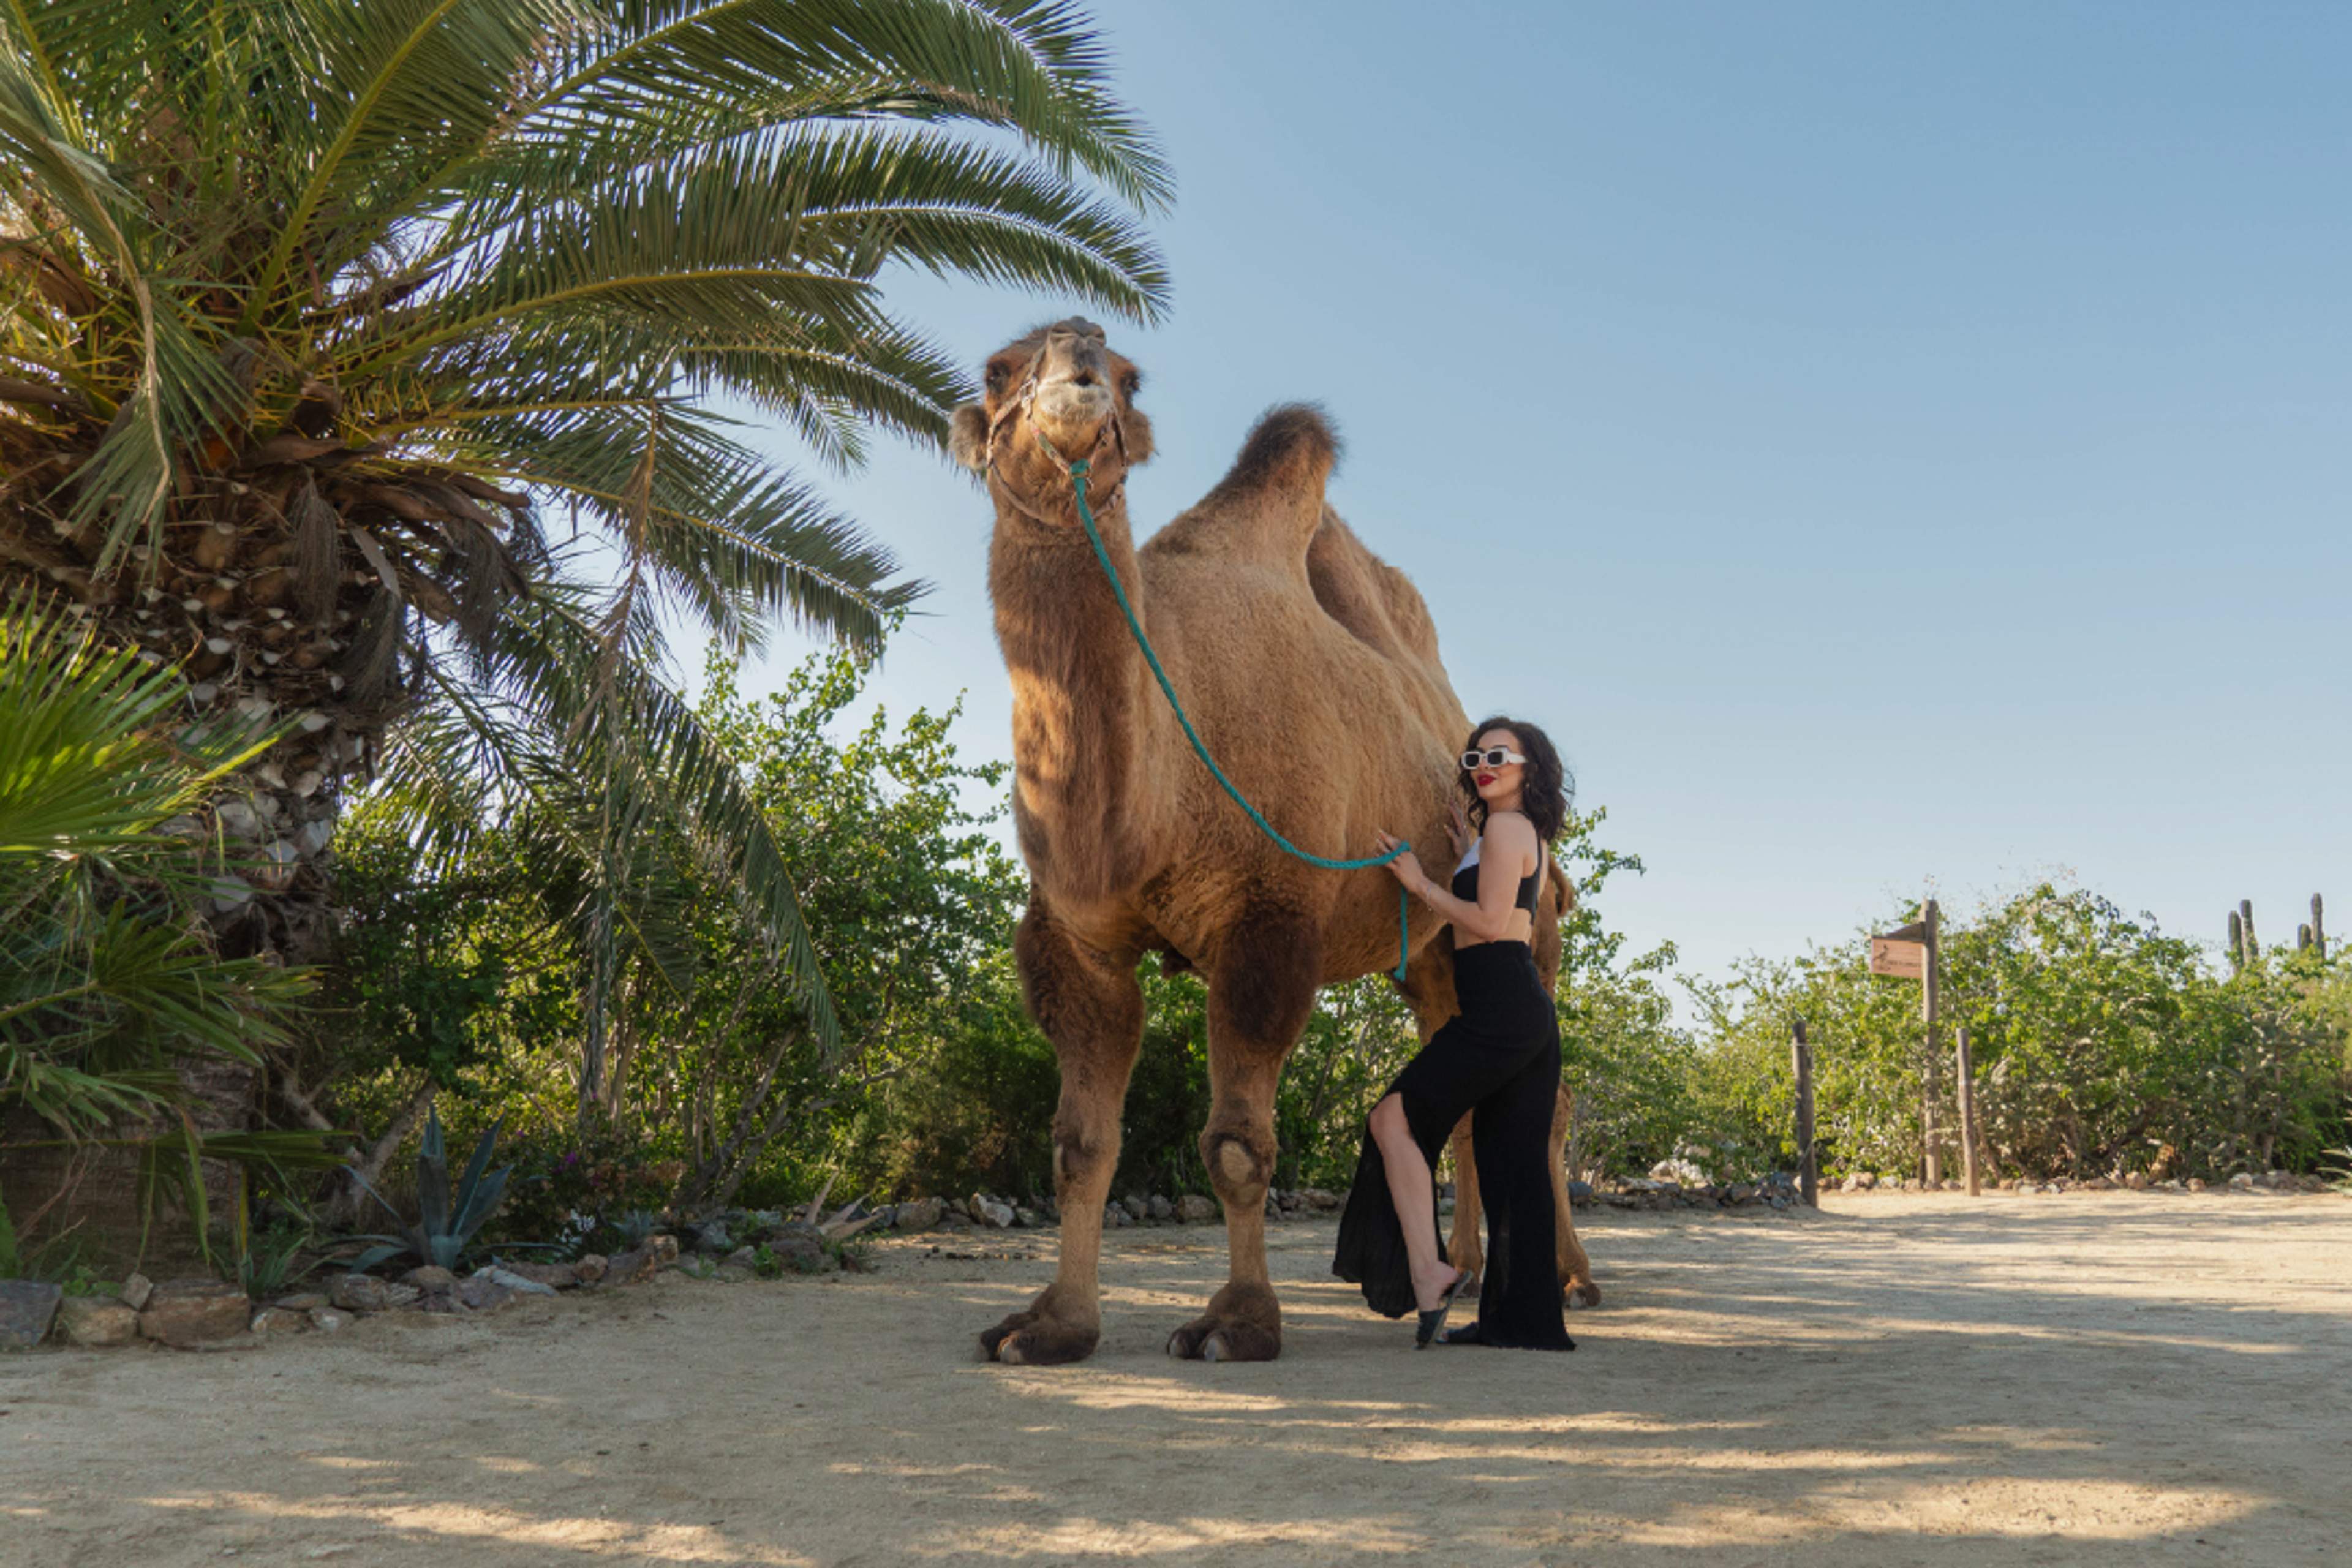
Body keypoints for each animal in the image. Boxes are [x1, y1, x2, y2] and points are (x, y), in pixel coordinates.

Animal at [952, 319, 1598, 1365]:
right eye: (998, 368)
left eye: (1129, 374)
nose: (1079, 356)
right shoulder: (1077, 937)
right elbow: (1079, 1145)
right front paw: (1051, 1324)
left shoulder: (1270, 916)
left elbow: (1235, 1146)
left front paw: (1237, 1322)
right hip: (1437, 961)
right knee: (1463, 1094)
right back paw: (1461, 1277)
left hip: (1534, 932)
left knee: (1550, 1104)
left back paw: (1573, 1282)